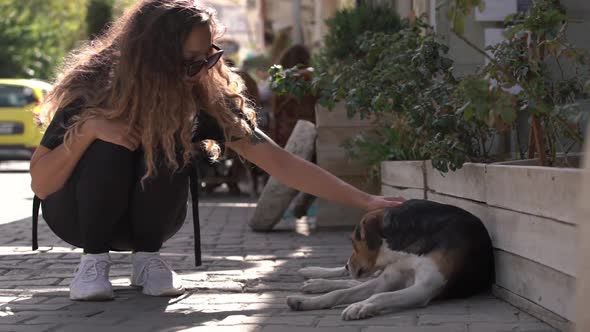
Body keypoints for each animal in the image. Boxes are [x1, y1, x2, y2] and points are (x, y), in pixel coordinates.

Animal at [286, 198, 494, 320]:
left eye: (354, 242)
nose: (346, 264)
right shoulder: (387, 279)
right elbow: (340, 293)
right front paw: (306, 302)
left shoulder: (424, 288)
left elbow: (380, 296)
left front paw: (361, 306)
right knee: (351, 282)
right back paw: (315, 278)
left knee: (353, 281)